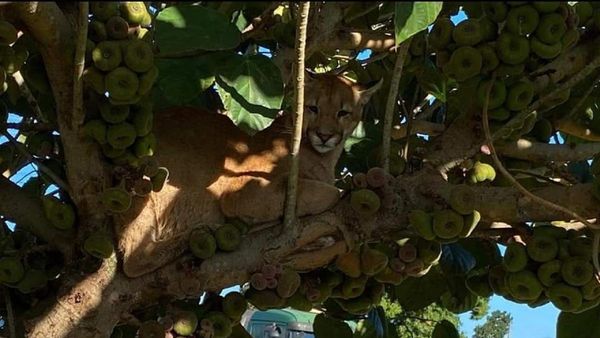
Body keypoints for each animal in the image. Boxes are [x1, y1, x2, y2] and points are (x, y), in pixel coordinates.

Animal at [115, 73, 382, 278]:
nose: (324, 136)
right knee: (134, 260)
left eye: (343, 113)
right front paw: (342, 193)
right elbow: (324, 192)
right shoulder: (240, 193)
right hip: (145, 182)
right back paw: (201, 232)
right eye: (313, 108)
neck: (323, 158)